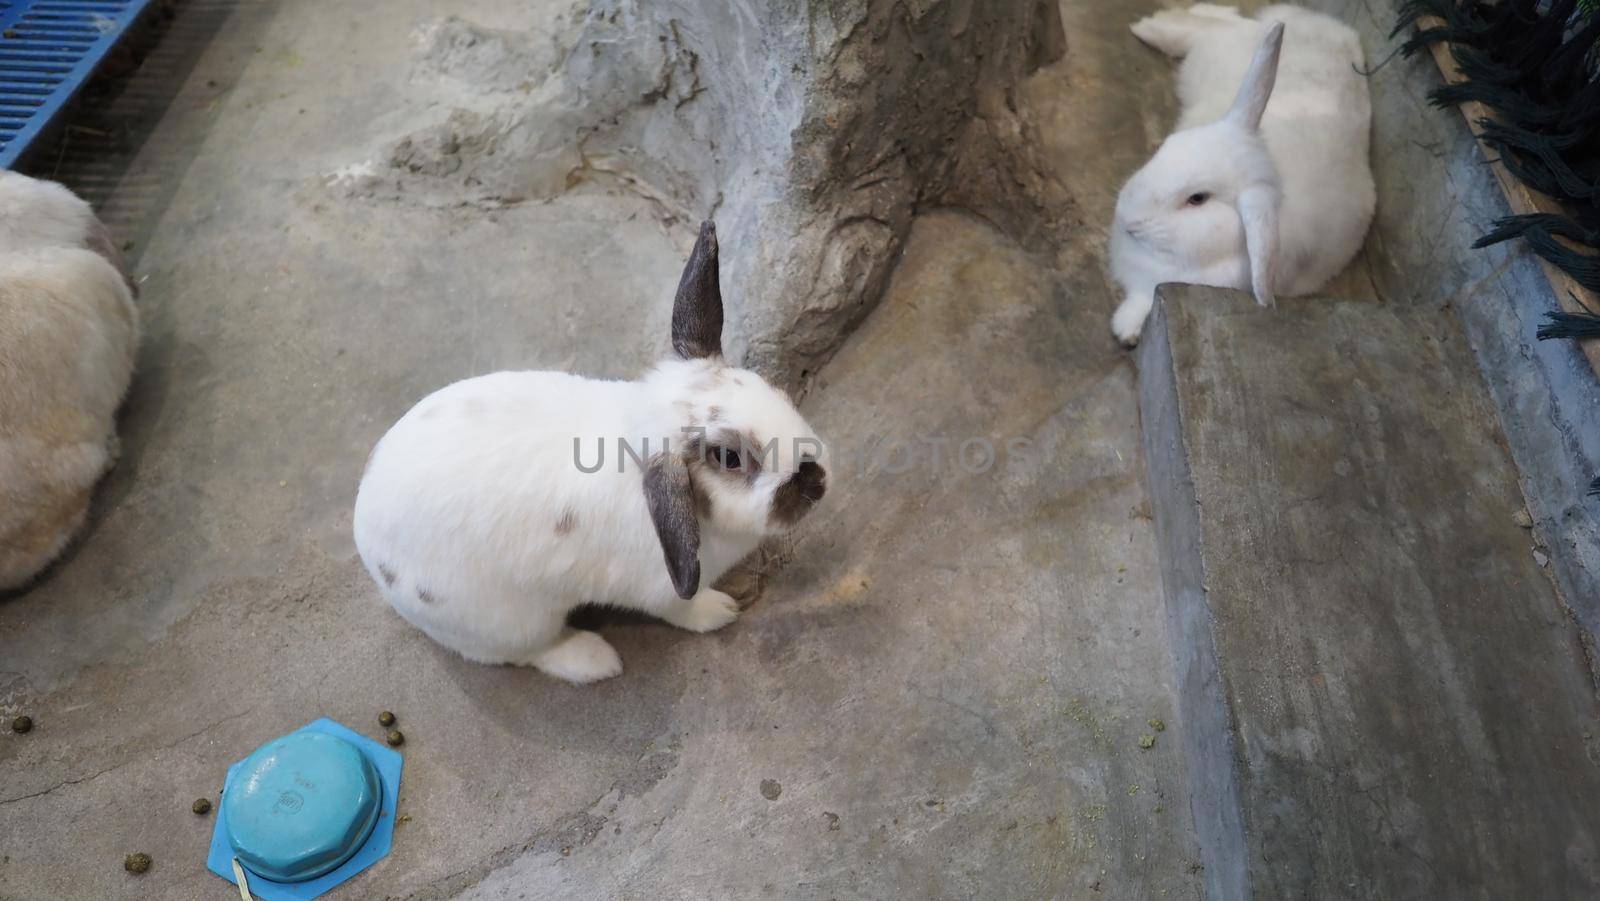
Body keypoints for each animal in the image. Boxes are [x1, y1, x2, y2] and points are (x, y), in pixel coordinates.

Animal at [356, 220, 832, 684]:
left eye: (768, 387)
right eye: (728, 458)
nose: (817, 481)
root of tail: (368, 546)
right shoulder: (660, 588)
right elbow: (682, 608)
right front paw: (721, 610)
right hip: (513, 622)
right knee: (525, 653)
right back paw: (594, 660)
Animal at [1113, 5, 1376, 347]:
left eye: (1197, 199)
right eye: (1168, 145)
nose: (1126, 220)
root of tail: (1340, 33)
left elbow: (1145, 299)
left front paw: (1127, 330)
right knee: (1212, 26)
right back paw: (1149, 27)